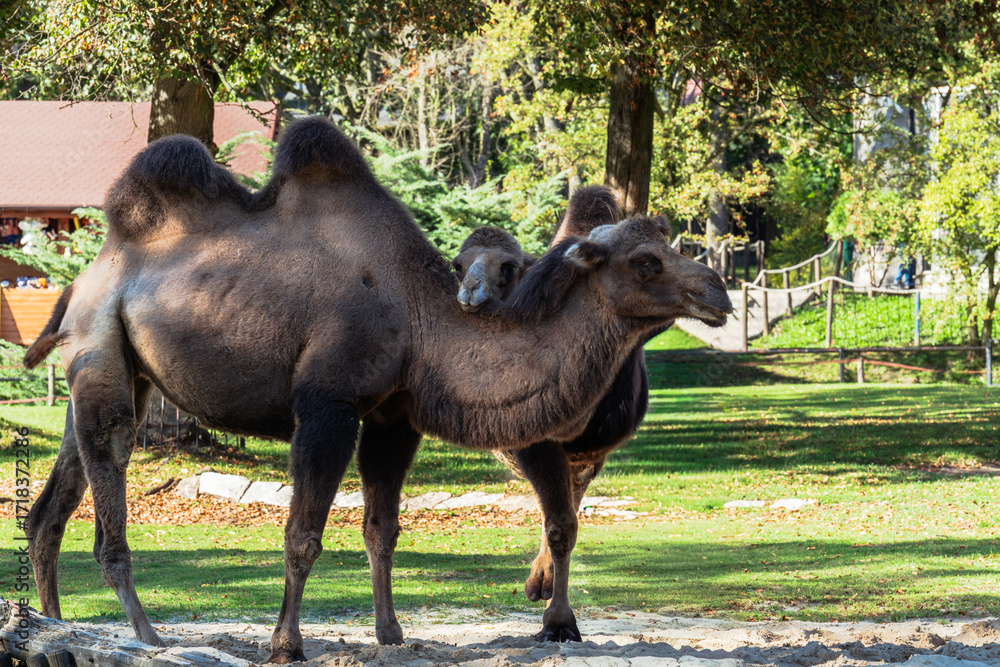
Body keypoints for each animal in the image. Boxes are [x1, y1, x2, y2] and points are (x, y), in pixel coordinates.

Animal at [452, 186, 670, 609]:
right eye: (457, 265)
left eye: (508, 267)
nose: (470, 291)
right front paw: (543, 582)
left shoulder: (592, 448)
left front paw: (547, 583)